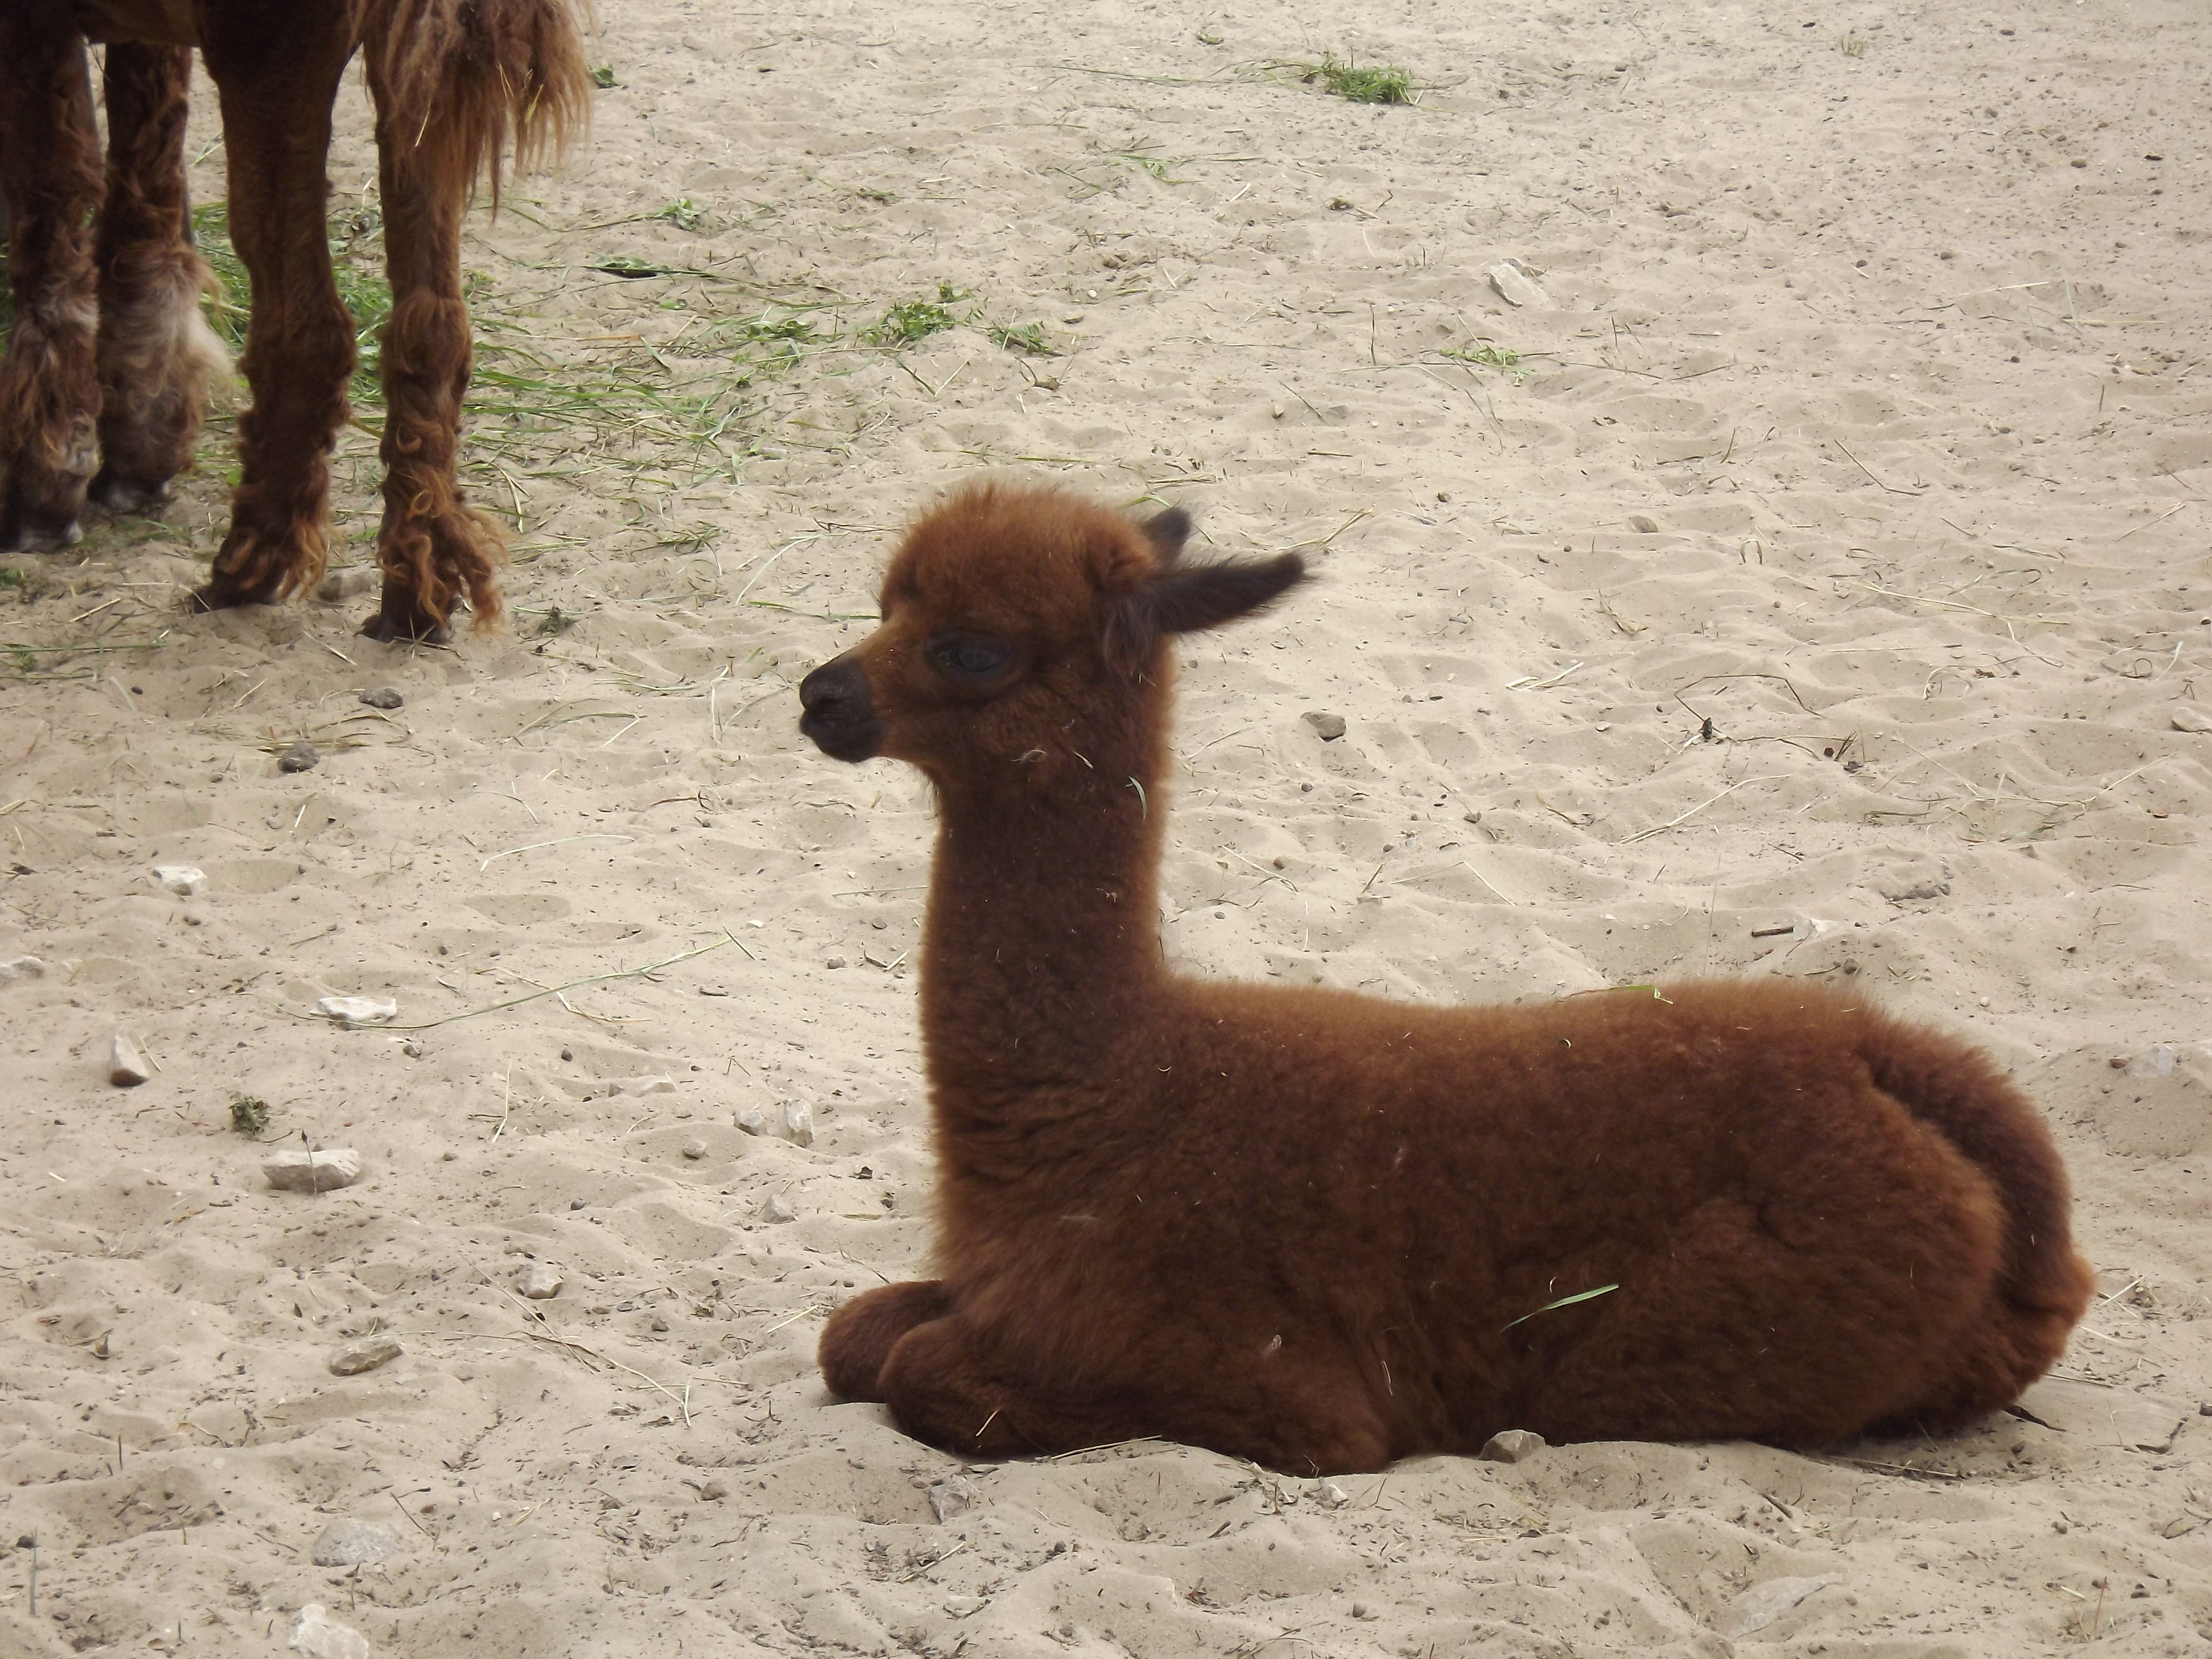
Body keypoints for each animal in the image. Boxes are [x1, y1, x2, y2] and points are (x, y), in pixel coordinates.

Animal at [0, 0, 588, 640]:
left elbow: (52, 194)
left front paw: (47, 479)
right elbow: (145, 165)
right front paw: (141, 445)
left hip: (274, 49)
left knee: (309, 330)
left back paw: (247, 567)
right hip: (415, 64)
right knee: (433, 328)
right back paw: (415, 601)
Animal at [794, 480, 2092, 1476]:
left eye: (973, 647)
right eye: (885, 604)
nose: (819, 694)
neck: (1107, 1088)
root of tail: (1885, 1057)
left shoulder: (1260, 1382)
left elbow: (920, 1370)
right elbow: (852, 1332)